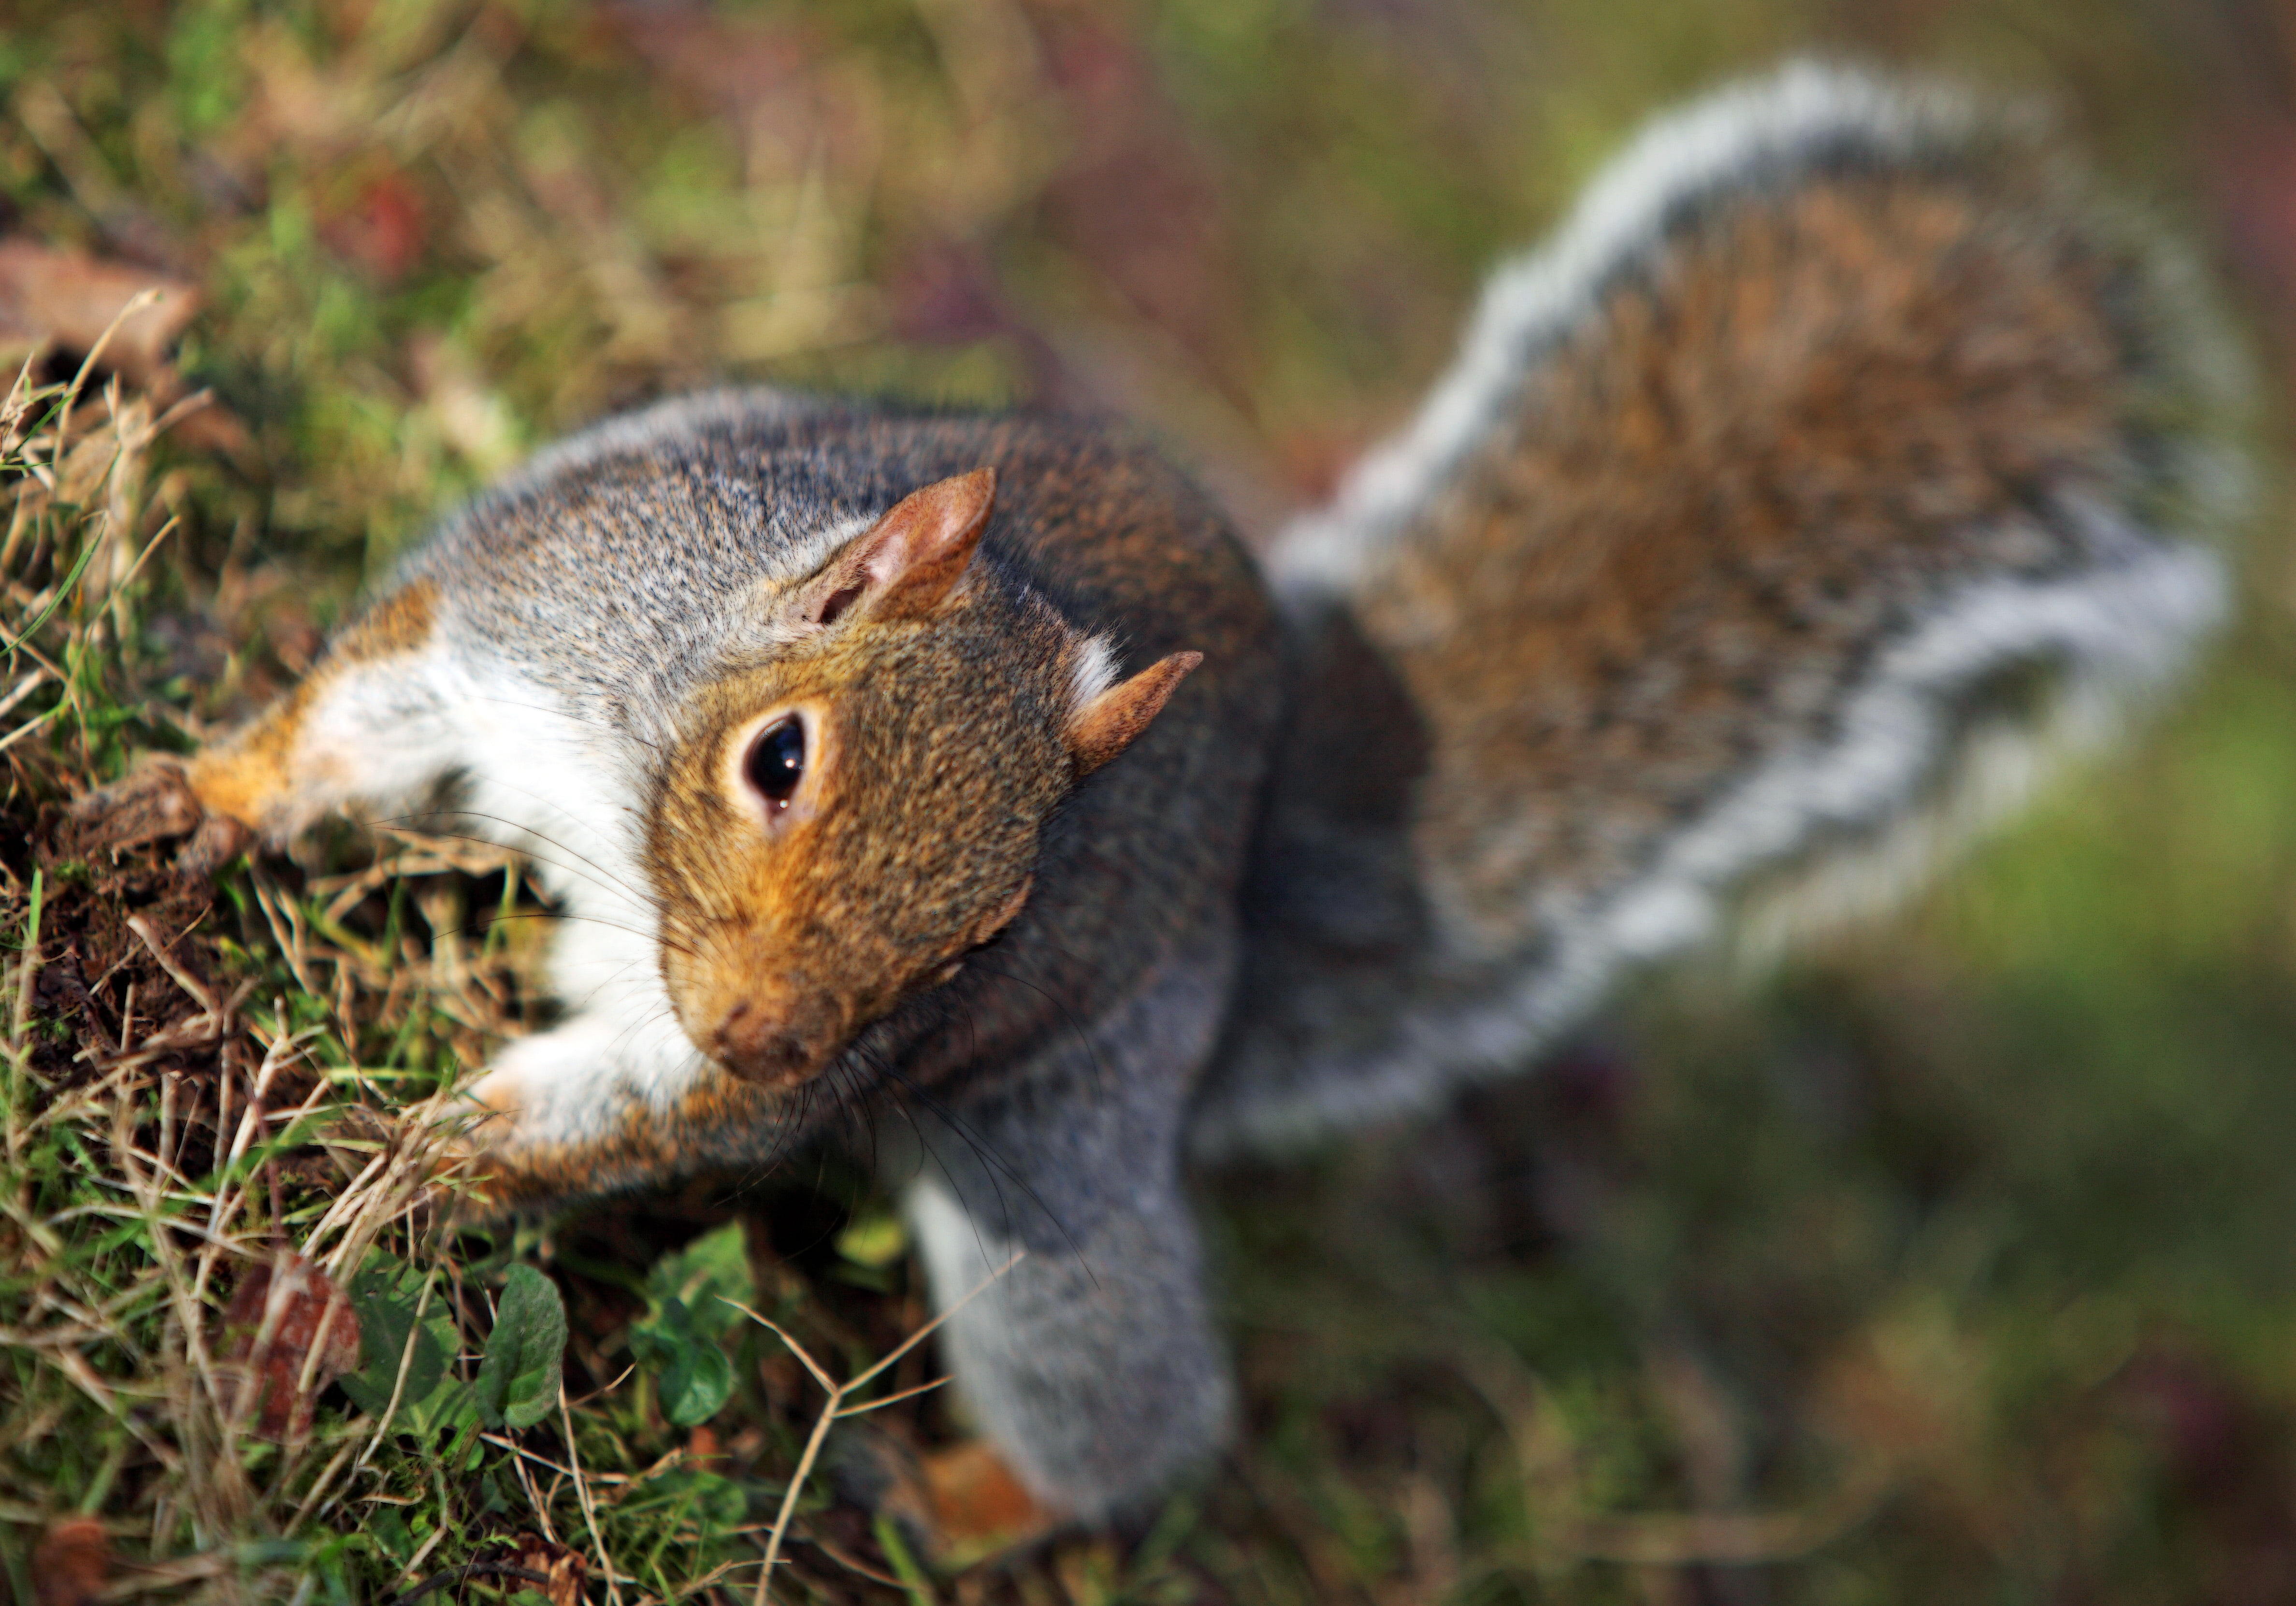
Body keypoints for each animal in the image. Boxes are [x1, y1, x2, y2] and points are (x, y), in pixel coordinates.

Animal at [76, 62, 2250, 1544]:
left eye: (987, 933)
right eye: (778, 760)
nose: (780, 1026)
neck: (628, 787)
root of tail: (1243, 898)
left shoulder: (782, 1061)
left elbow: (633, 1110)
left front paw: (426, 1160)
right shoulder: (529, 609)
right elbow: (355, 714)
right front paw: (192, 802)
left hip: (1057, 1164)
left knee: (1124, 1396)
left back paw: (967, 1503)